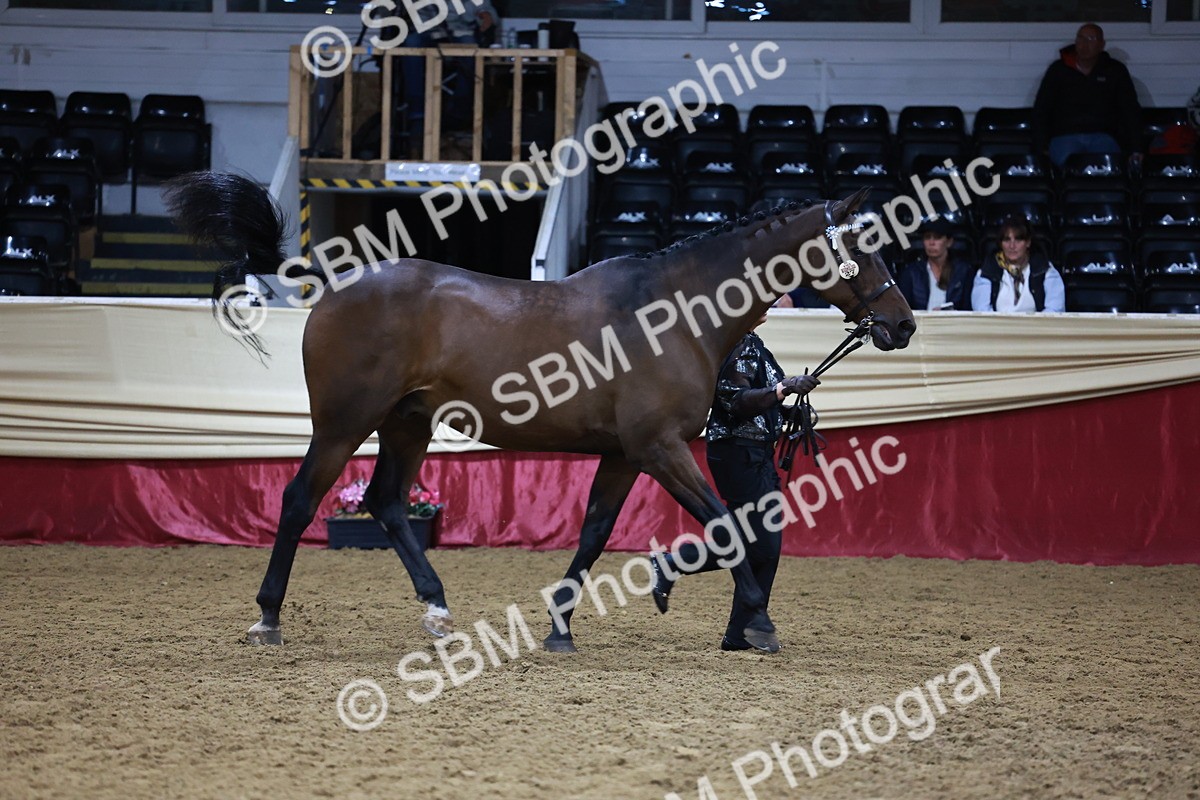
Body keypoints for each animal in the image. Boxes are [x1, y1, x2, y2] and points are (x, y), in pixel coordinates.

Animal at [165, 172, 915, 653]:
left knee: (384, 502)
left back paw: (438, 611)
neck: (675, 312)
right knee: (299, 500)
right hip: (344, 424)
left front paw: (561, 627)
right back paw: (268, 620)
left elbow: (593, 534)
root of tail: (335, 283)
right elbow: (726, 525)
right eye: (864, 247)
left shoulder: (625, 454)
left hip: (407, 423)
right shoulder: (661, 448)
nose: (902, 325)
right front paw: (758, 622)